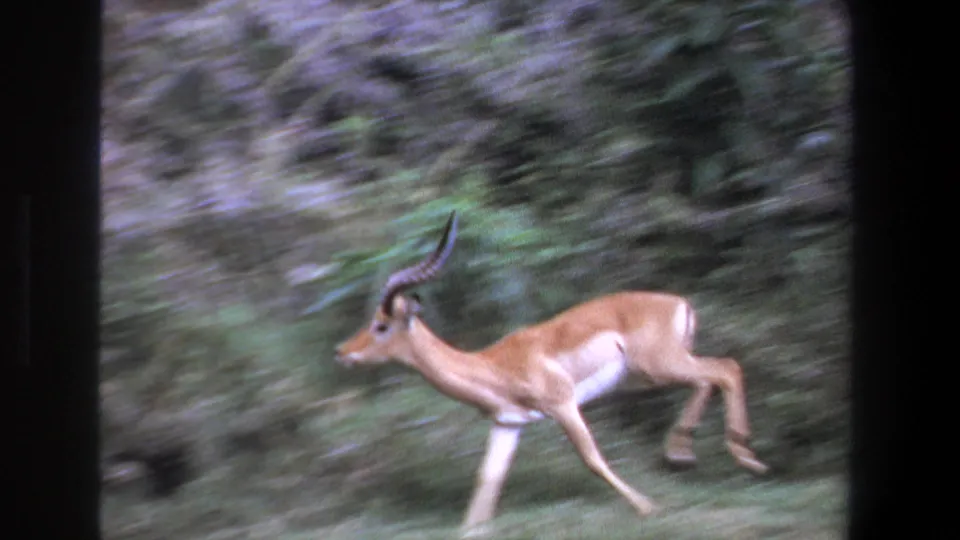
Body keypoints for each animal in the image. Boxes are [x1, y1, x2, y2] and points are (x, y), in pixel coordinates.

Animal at [334, 211, 768, 536]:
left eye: (381, 325)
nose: (342, 352)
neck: (494, 365)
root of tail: (680, 302)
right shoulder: (508, 423)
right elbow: (488, 479)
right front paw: (473, 528)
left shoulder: (562, 404)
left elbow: (592, 458)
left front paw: (648, 507)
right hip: (658, 371)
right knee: (716, 374)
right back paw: (694, 453)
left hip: (659, 367)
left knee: (724, 370)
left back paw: (730, 457)